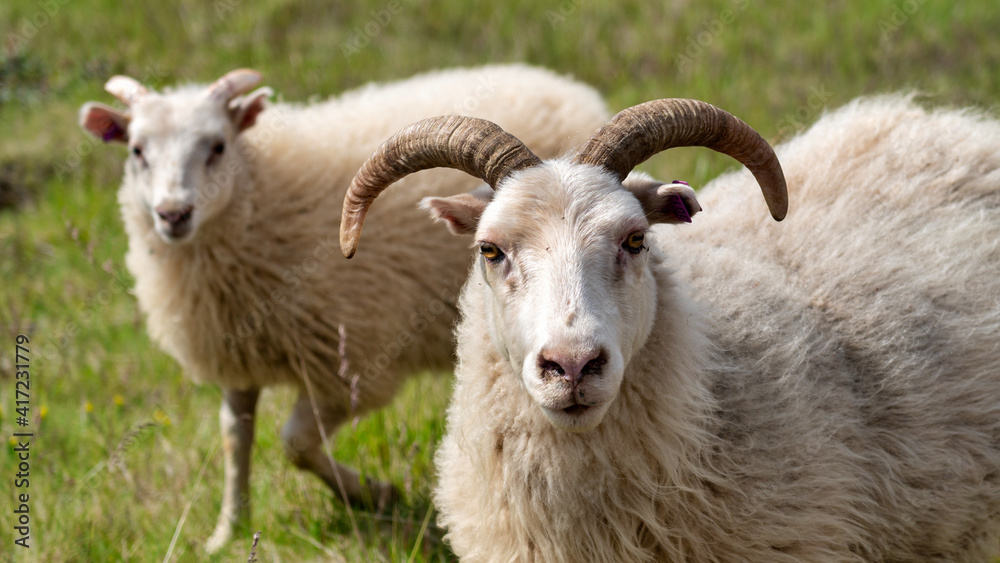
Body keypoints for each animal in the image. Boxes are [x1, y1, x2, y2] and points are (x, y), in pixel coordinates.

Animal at [77, 64, 610, 552]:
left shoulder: (348, 365)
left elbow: (294, 442)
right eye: (137, 151)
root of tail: (565, 85)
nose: (173, 214)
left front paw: (372, 493)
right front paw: (228, 530)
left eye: (217, 146)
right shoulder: (238, 348)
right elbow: (234, 436)